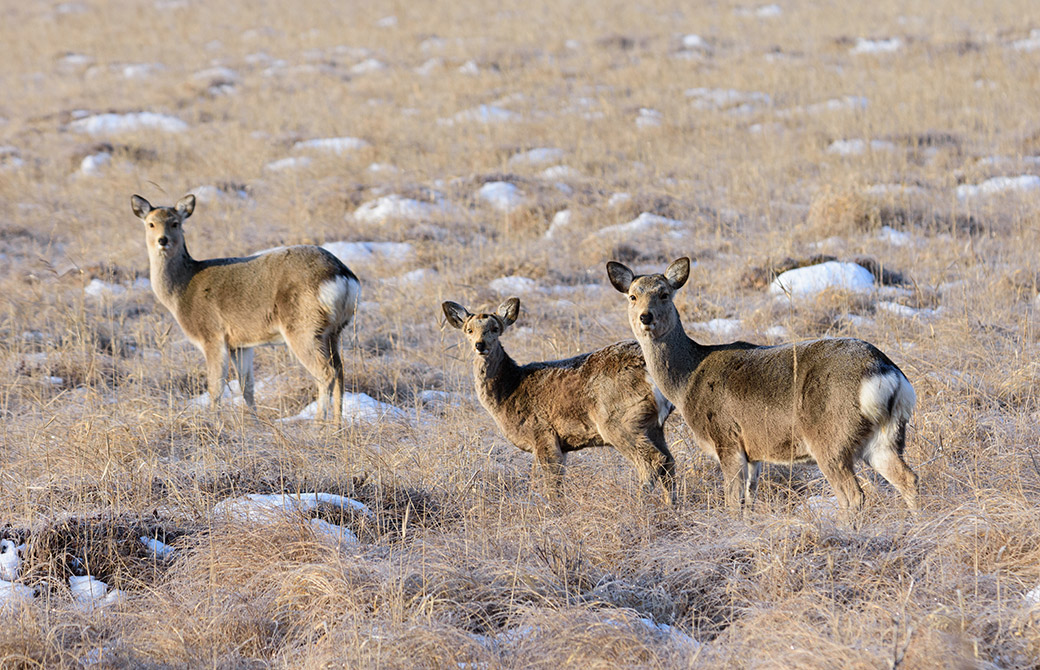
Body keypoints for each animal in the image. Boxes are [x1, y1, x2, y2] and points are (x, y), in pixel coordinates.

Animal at [130, 193, 361, 422]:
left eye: (175, 223)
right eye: (151, 224)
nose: (163, 240)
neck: (182, 291)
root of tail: (343, 276)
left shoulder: (212, 335)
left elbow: (216, 387)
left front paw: (214, 423)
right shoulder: (241, 344)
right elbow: (247, 386)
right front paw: (255, 422)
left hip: (303, 327)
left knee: (326, 372)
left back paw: (318, 424)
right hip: (332, 331)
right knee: (340, 369)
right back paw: (337, 424)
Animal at [443, 297, 678, 503]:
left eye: (494, 329)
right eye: (469, 330)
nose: (480, 345)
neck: (510, 391)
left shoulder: (543, 432)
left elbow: (552, 484)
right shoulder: (563, 445)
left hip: (619, 419)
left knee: (653, 461)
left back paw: (640, 505)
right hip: (652, 424)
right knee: (669, 461)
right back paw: (672, 507)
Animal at [607, 259, 923, 509]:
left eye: (664, 294)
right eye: (632, 296)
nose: (645, 317)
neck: (687, 381)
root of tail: (885, 372)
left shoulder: (727, 438)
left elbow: (733, 502)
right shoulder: (754, 451)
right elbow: (750, 499)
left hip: (830, 437)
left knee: (853, 495)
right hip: (884, 437)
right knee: (908, 478)